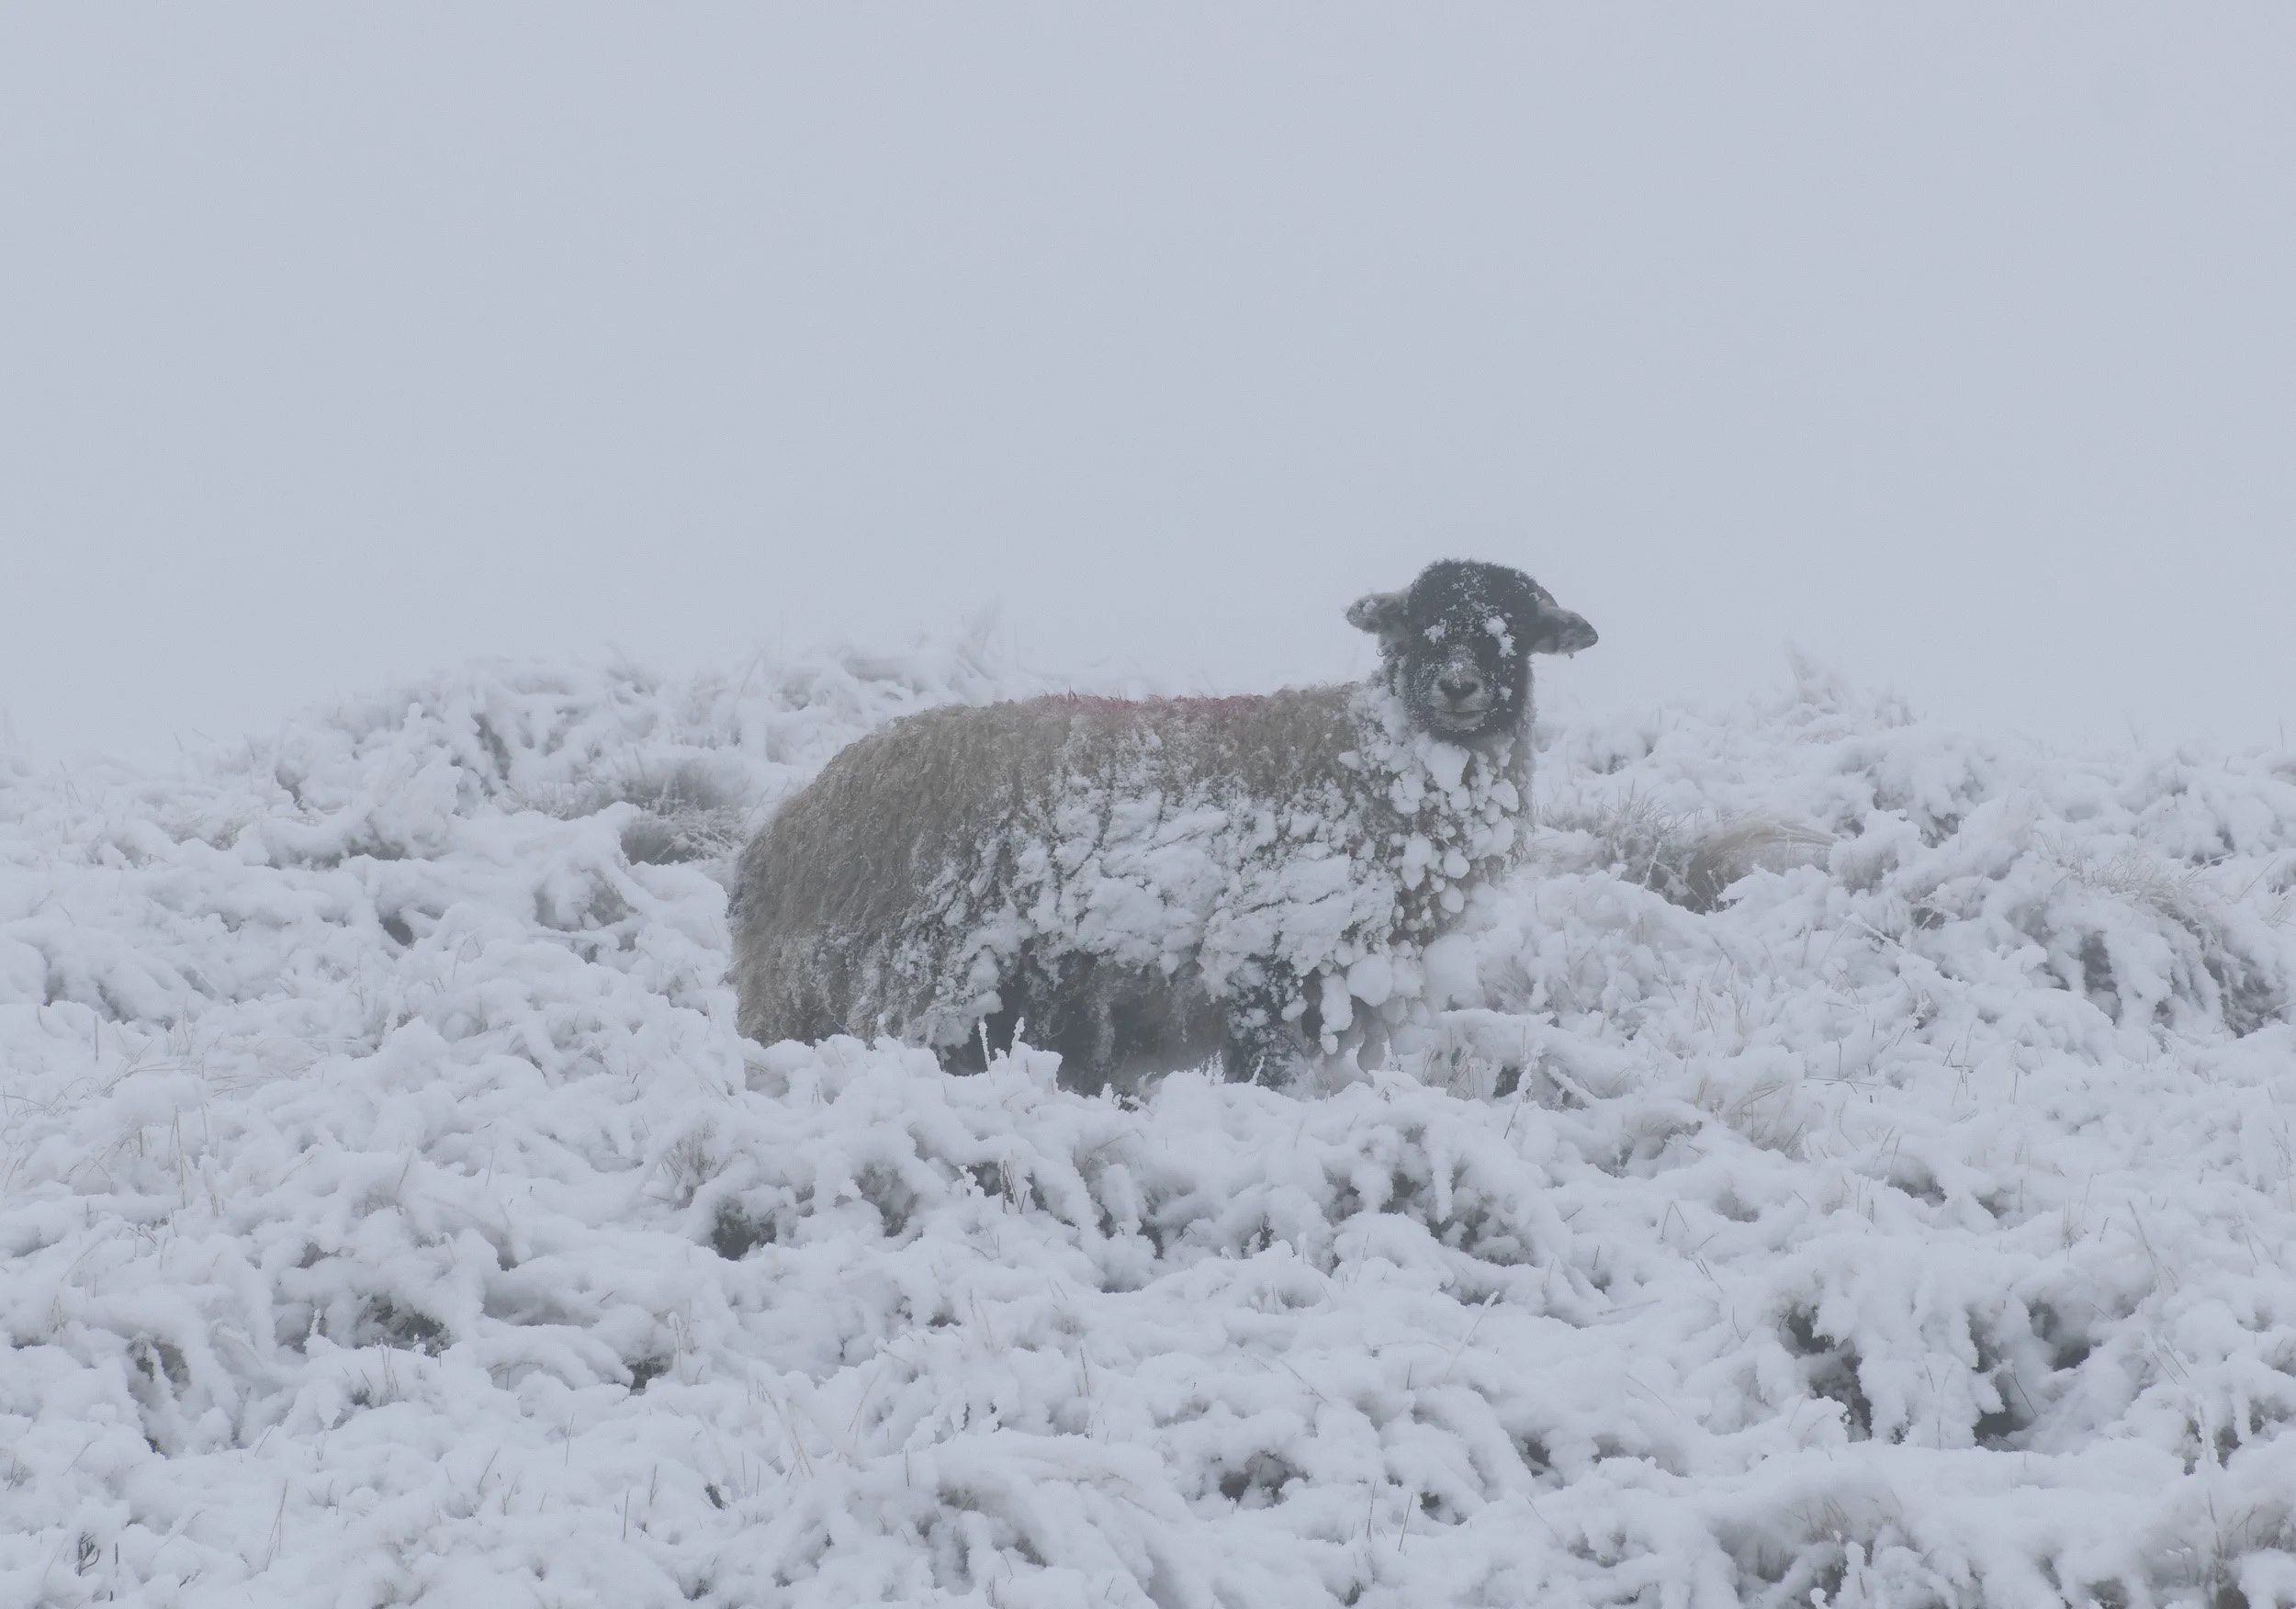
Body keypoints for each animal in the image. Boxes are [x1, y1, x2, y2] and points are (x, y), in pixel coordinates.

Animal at [731, 559, 1597, 1089]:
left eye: (1515, 629)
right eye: (1417, 623)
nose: (1459, 686)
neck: (1372, 759)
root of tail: (784, 838)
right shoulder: (1267, 950)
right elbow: (1272, 1074)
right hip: (909, 981)